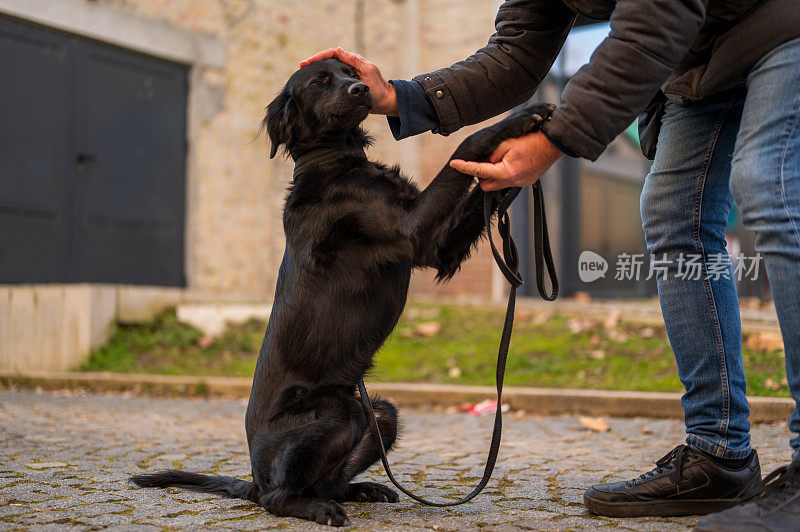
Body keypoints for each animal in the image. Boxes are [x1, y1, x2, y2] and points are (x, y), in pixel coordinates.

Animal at [133, 59, 556, 528]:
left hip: (379, 414)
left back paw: (362, 490)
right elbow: (465, 146)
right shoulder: (413, 230)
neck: (337, 160)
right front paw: (521, 120)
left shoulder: (436, 248)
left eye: (350, 71)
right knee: (279, 498)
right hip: (327, 421)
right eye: (320, 82)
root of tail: (255, 480)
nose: (362, 90)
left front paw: (519, 164)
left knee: (329, 477)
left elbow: (481, 190)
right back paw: (319, 508)